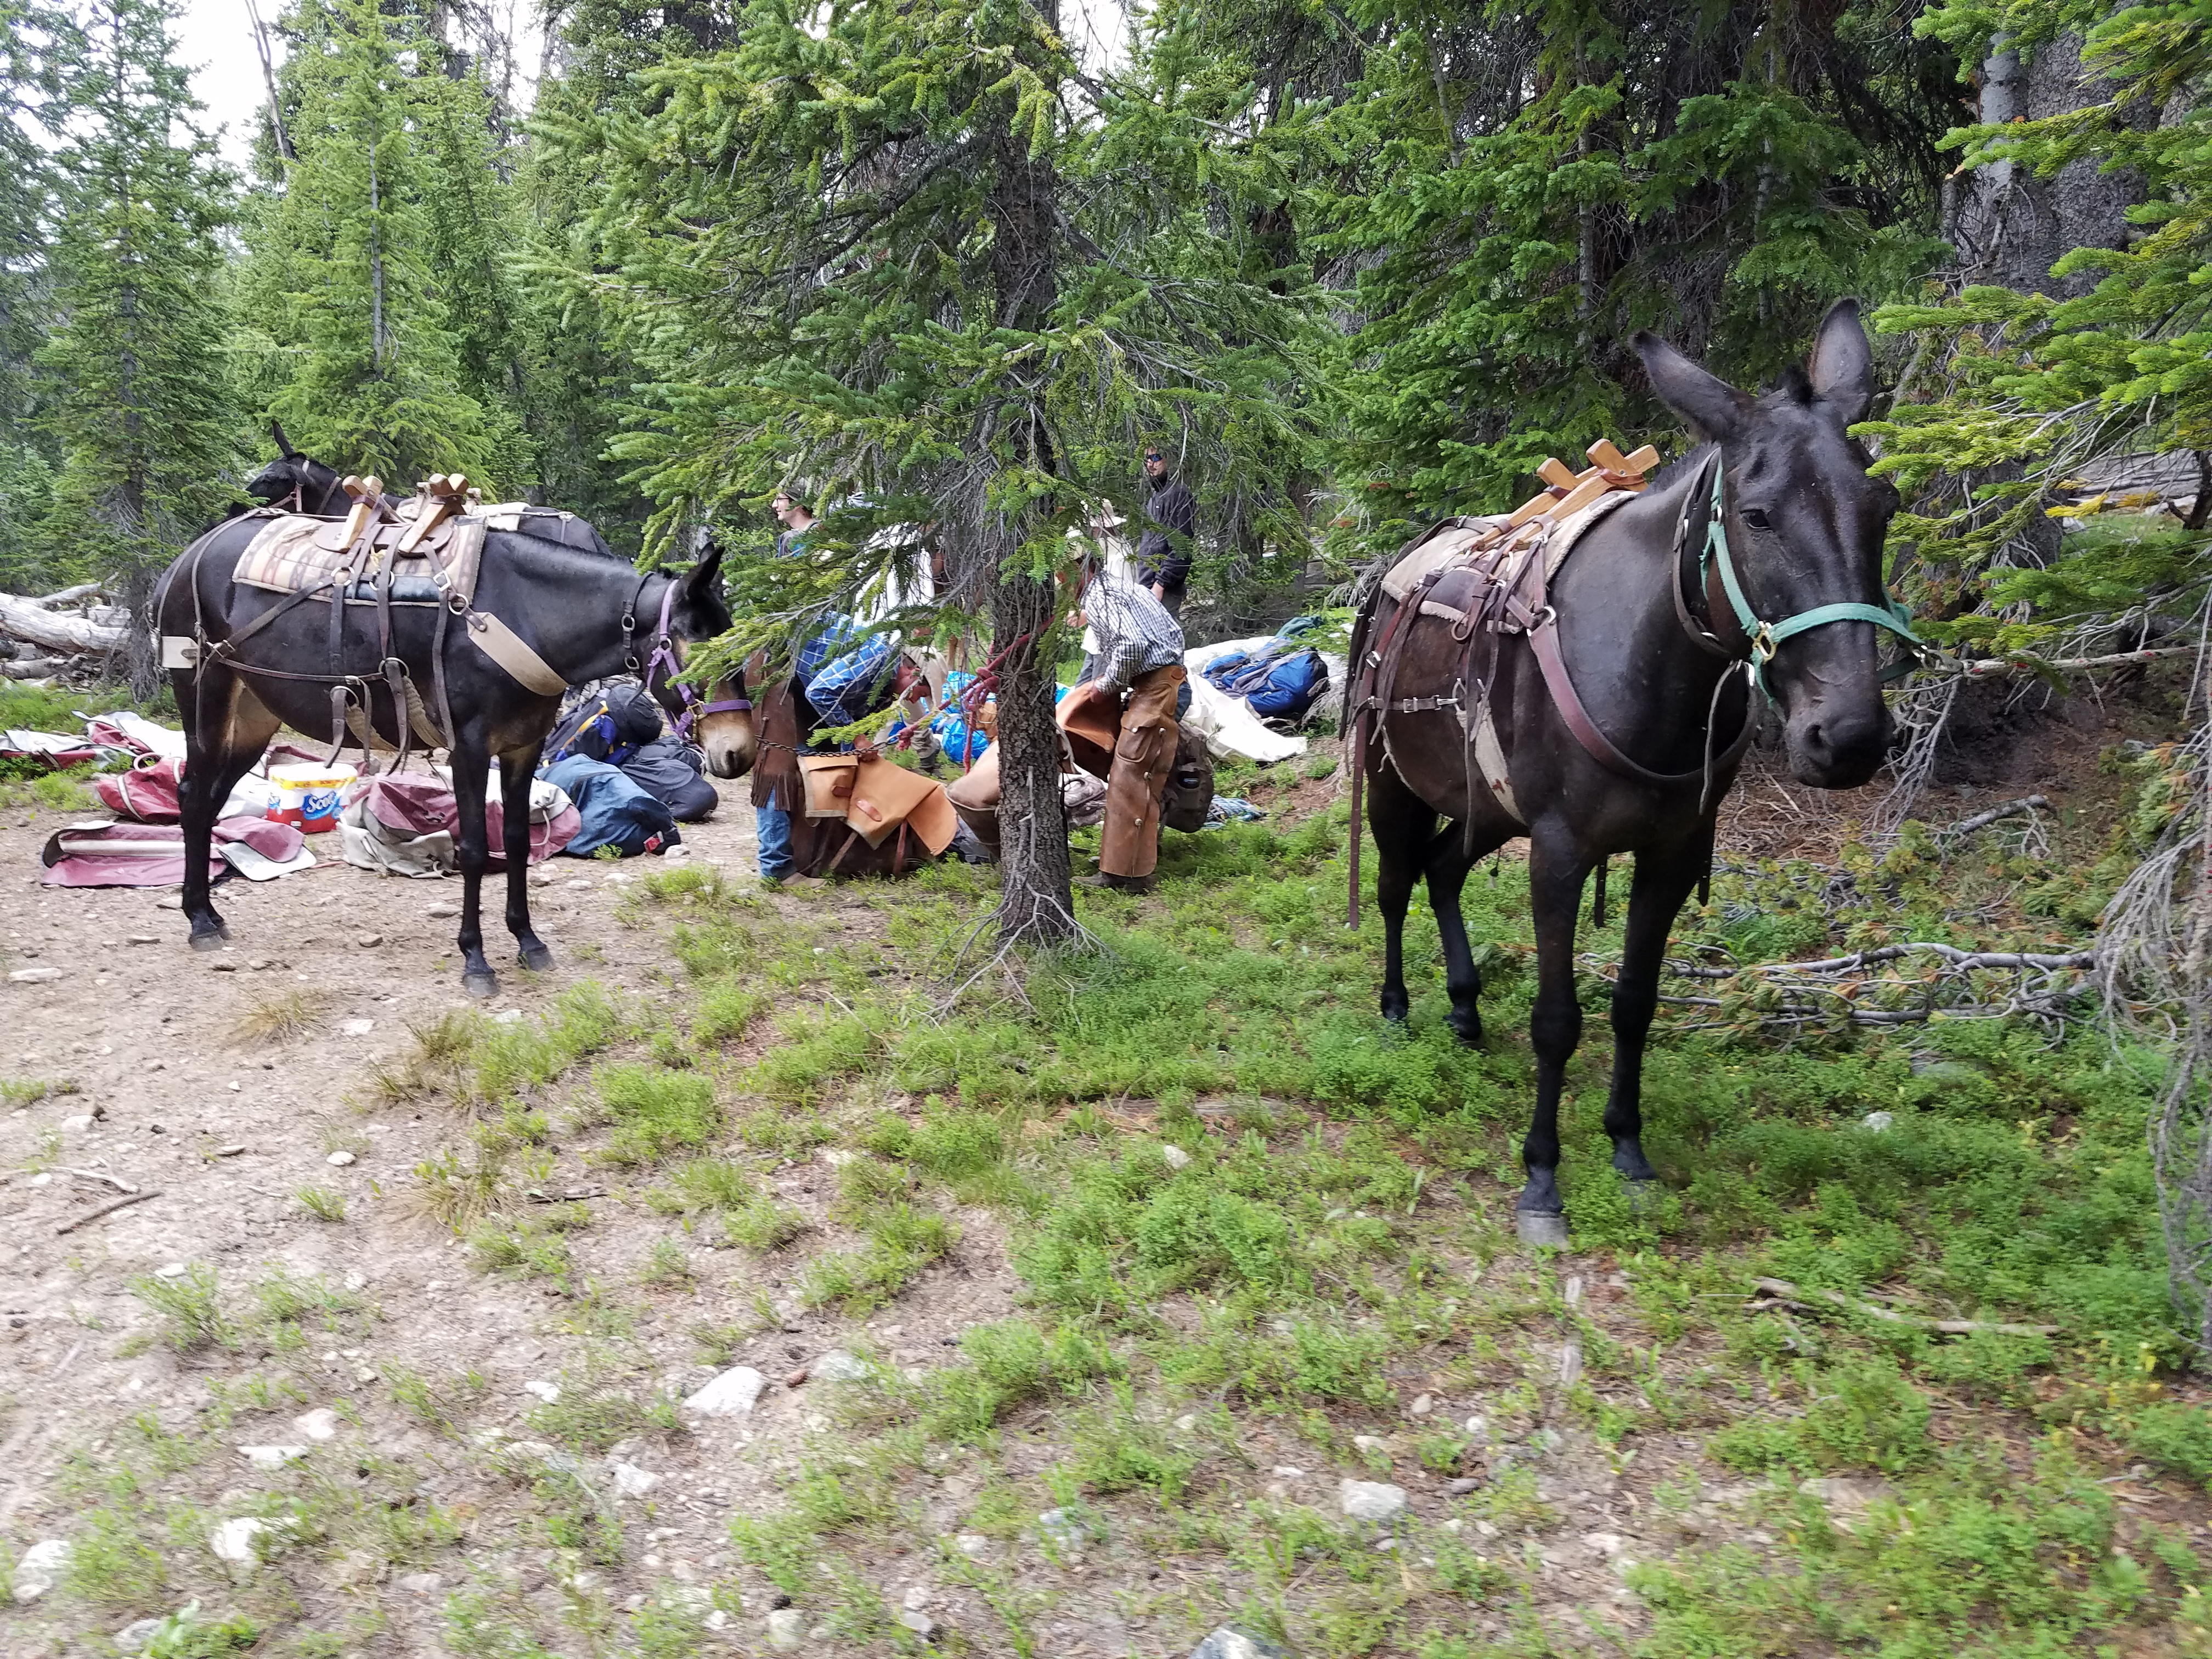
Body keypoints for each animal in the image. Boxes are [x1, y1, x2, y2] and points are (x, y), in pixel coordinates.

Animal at [1353, 298, 1911, 1238]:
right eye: (1757, 516)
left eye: (1884, 505)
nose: (1850, 737)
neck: (1651, 673)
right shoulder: (1559, 851)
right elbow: (1557, 1018)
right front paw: (1542, 1179)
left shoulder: (1672, 855)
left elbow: (1633, 1005)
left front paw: (1627, 1147)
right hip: (1392, 784)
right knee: (1397, 883)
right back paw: (1396, 1010)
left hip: (1486, 809)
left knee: (1440, 871)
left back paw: (1464, 1003)